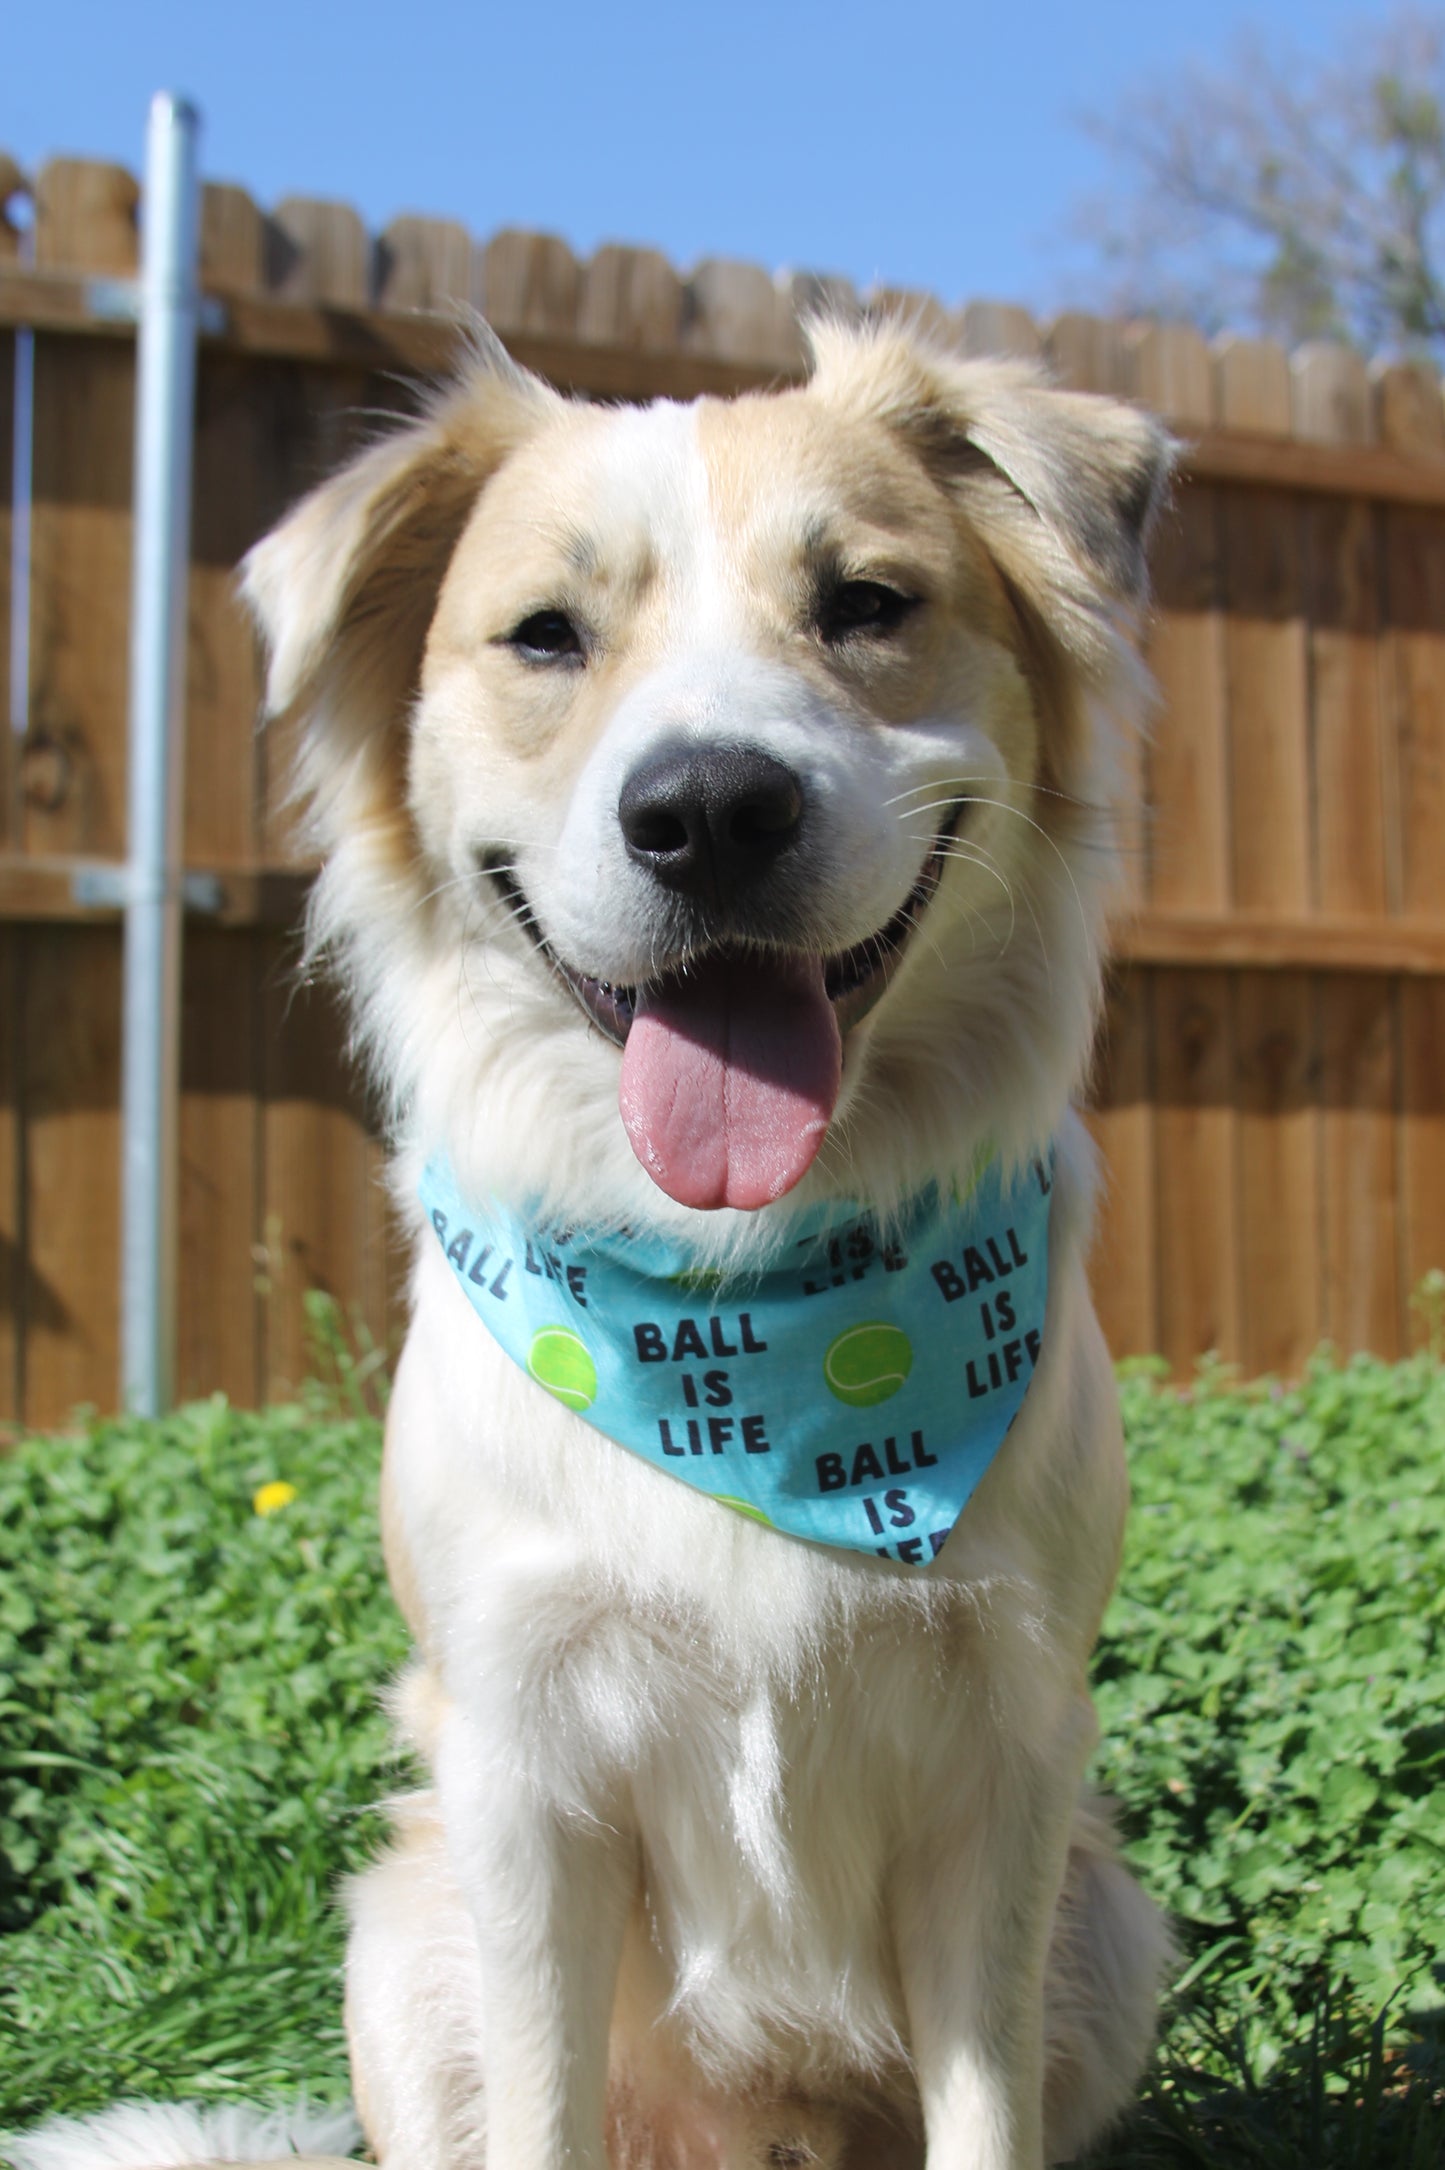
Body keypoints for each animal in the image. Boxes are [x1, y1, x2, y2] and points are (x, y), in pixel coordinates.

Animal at [22, 310, 1171, 2170]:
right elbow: (543, 2102)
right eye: (545, 635)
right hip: (396, 1943)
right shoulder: (522, 1772)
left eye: (867, 602)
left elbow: (981, 2117)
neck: (744, 1321)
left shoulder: (1005, 1761)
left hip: (1109, 1923)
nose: (709, 809)